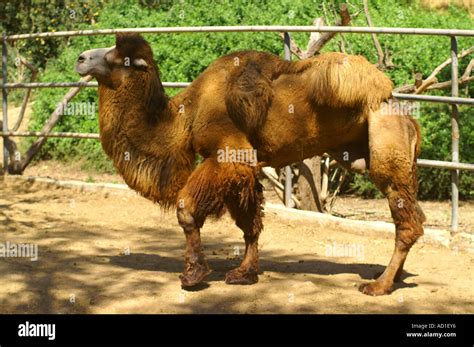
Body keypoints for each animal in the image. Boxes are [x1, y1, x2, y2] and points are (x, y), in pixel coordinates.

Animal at [77, 34, 426, 296]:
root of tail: (396, 103)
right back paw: (393, 275)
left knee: (407, 221)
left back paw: (379, 285)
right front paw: (244, 273)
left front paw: (193, 275)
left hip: (385, 142)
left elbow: (187, 210)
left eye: (117, 57)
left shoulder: (228, 154)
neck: (185, 115)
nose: (81, 58)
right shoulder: (245, 167)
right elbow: (250, 223)